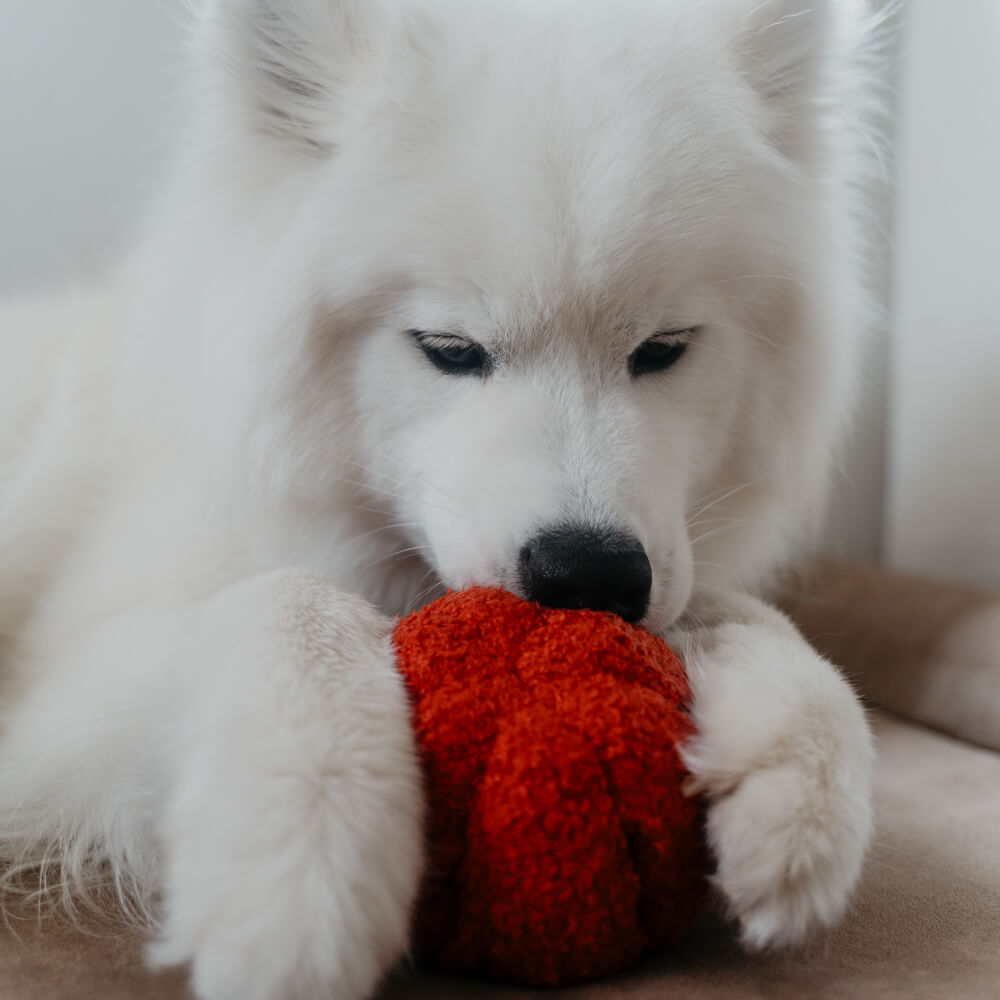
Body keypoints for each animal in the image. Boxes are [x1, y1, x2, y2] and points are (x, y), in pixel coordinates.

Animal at [0, 0, 888, 996]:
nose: (588, 575)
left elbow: (754, 623)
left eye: (664, 349)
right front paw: (304, 850)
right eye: (449, 349)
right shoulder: (60, 694)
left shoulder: (669, 565)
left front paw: (803, 775)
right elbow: (290, 599)